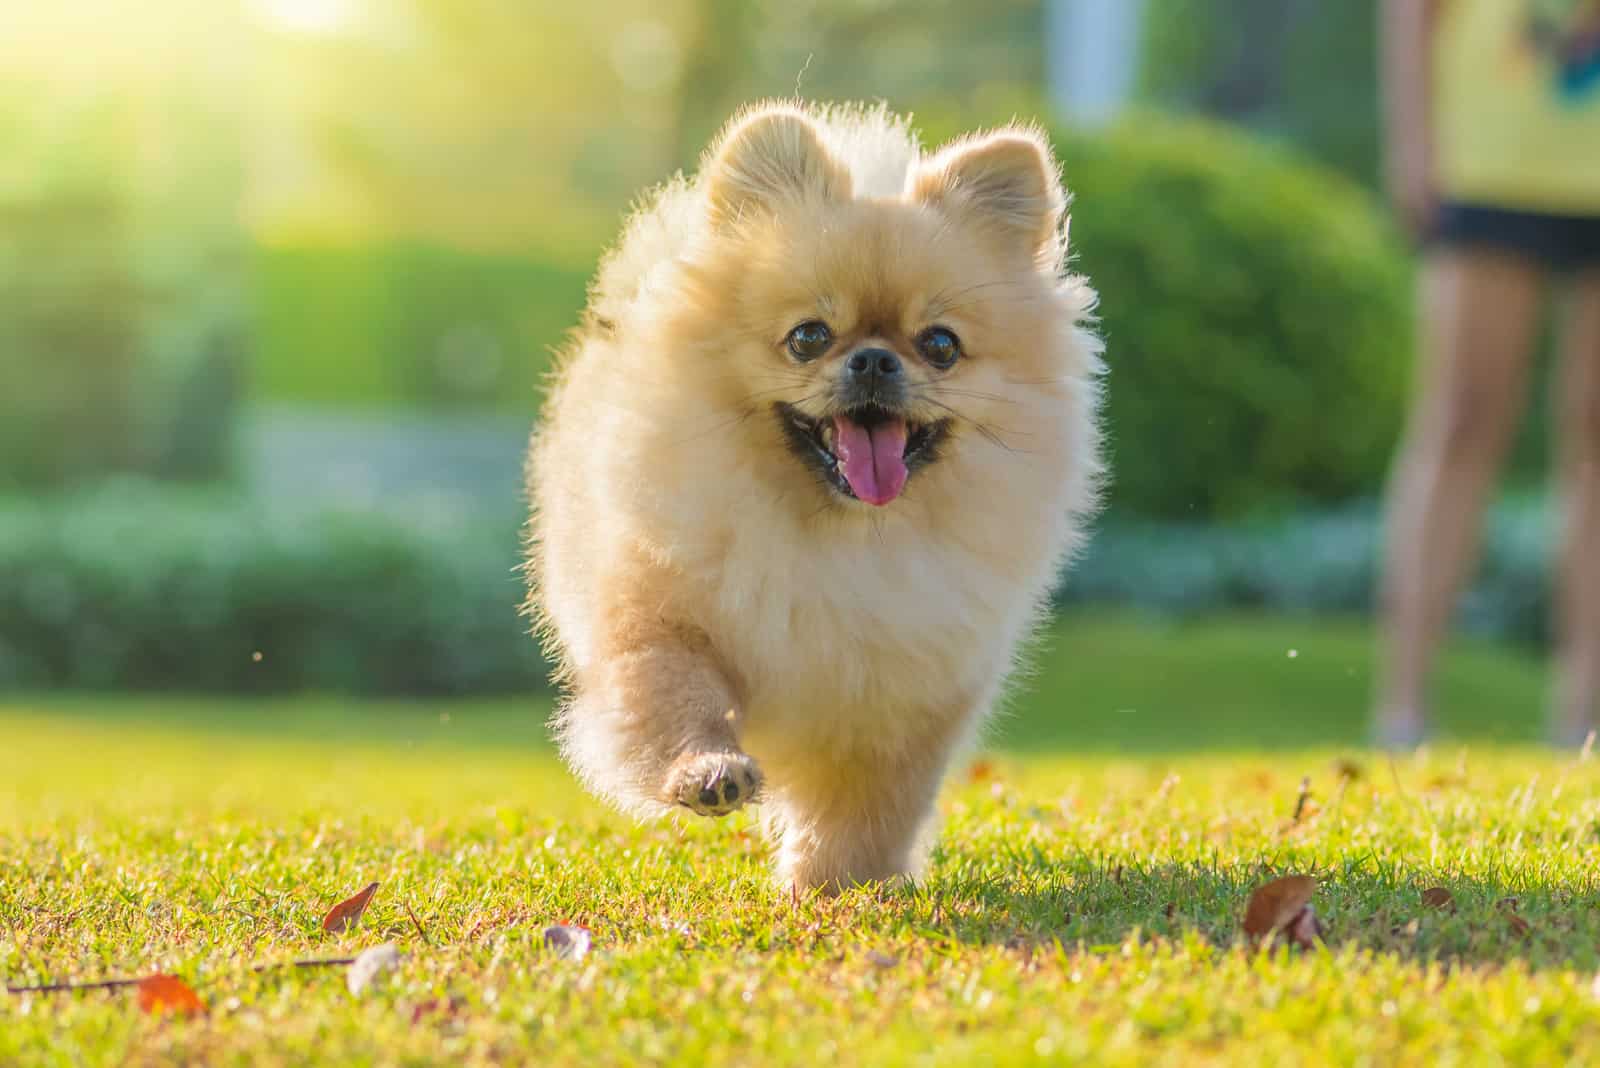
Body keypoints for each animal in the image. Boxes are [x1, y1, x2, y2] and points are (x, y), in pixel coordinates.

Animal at [524, 99, 1100, 888]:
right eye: (808, 337)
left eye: (940, 345)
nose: (875, 359)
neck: (835, 538)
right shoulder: (657, 620)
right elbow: (675, 700)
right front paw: (708, 771)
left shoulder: (905, 691)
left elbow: (872, 800)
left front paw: (838, 882)